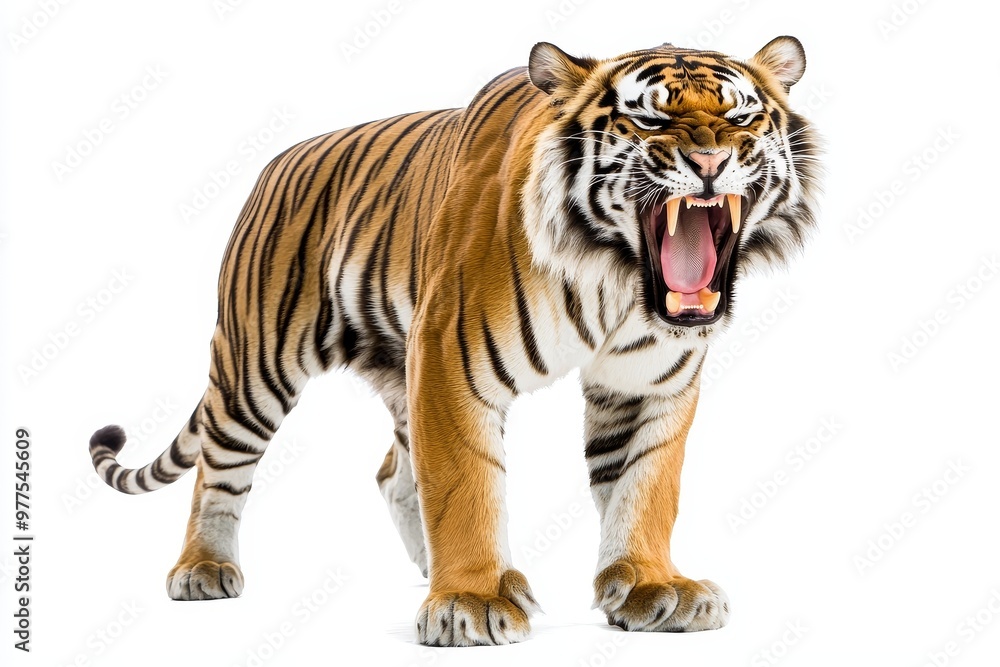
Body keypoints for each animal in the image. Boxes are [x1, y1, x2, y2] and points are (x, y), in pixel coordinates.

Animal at [89, 36, 821, 646]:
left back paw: (443, 568)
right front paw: (471, 601)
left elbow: (644, 486)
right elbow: (465, 482)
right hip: (256, 365)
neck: (613, 278)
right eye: (650, 121)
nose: (710, 160)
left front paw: (651, 587)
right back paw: (204, 569)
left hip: (393, 366)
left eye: (743, 118)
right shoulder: (450, 360)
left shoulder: (647, 381)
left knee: (393, 473)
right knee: (219, 467)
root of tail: (279, 162)